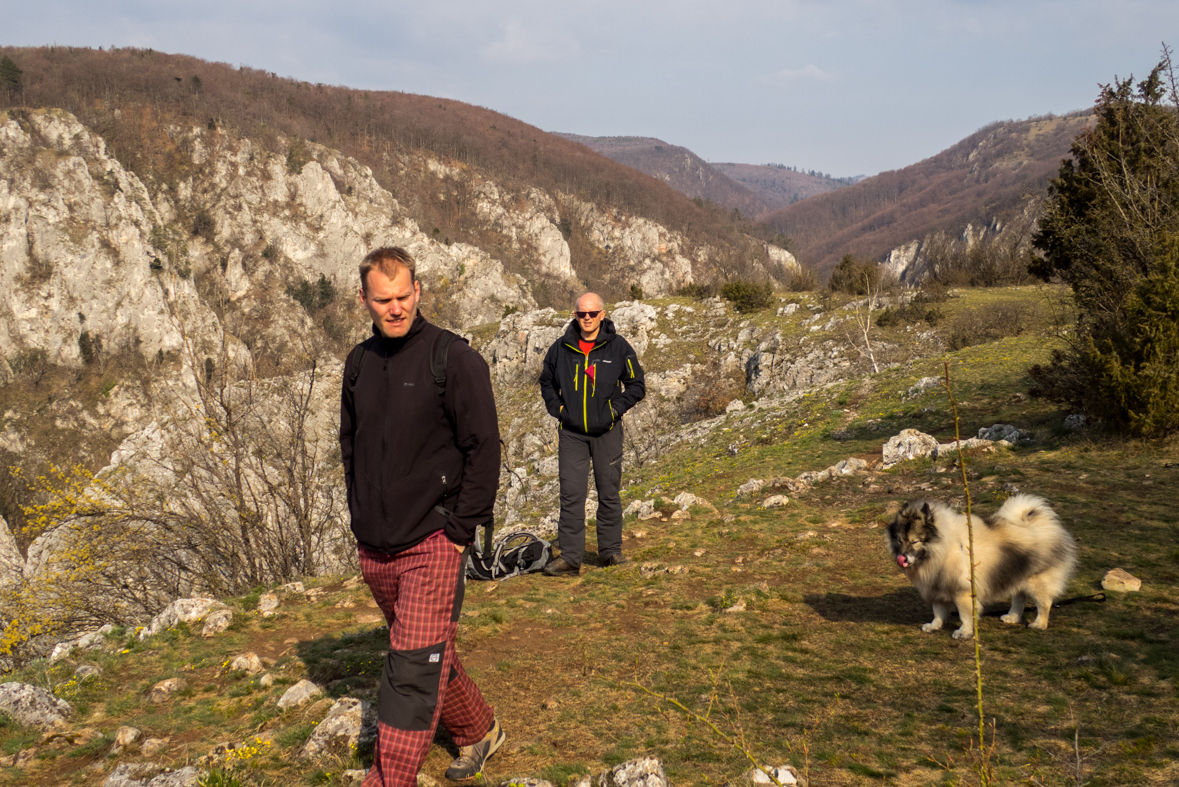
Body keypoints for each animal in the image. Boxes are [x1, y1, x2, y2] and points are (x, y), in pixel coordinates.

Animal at [886, 497, 1075, 640]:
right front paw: (934, 626)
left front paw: (964, 632)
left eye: (915, 541)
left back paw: (1039, 624)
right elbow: (938, 612)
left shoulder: (962, 592)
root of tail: (1042, 523)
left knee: (1044, 603)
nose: (902, 558)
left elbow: (965, 615)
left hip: (1036, 581)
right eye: (899, 540)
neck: (943, 547)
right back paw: (1012, 617)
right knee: (1019, 598)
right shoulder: (938, 587)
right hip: (1017, 575)